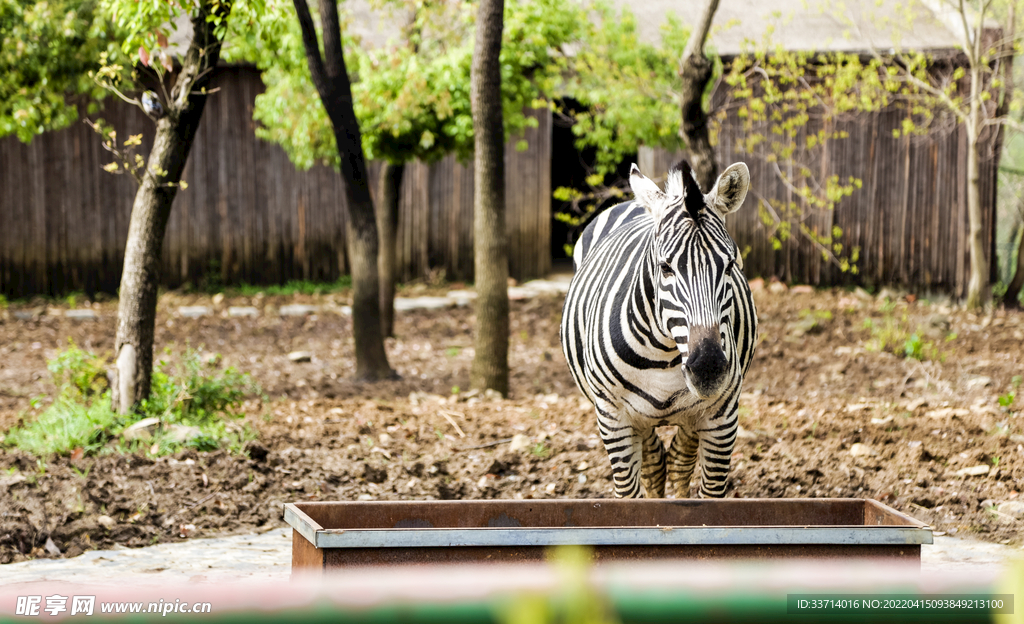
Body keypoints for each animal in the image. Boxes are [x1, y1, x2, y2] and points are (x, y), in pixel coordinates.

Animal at [557, 160, 757, 495]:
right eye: (665, 267)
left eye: (730, 266)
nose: (708, 368)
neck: (664, 356)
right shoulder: (613, 417)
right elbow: (629, 489)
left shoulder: (723, 415)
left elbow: (709, 490)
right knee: (654, 459)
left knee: (678, 457)